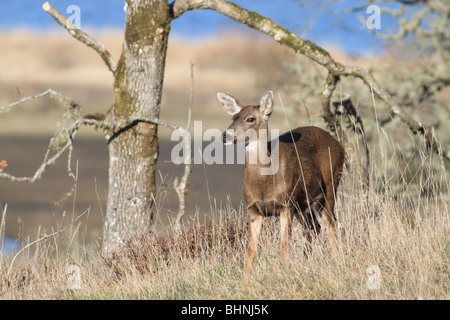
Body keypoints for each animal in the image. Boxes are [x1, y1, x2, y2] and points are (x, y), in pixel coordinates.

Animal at [217, 90, 344, 276]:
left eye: (250, 119)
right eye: (233, 117)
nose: (225, 136)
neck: (265, 182)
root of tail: (339, 145)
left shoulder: (286, 205)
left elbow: (284, 244)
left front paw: (287, 271)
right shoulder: (253, 209)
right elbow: (251, 247)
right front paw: (246, 277)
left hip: (330, 186)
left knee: (331, 225)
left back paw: (336, 260)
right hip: (303, 203)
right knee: (314, 227)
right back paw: (307, 262)